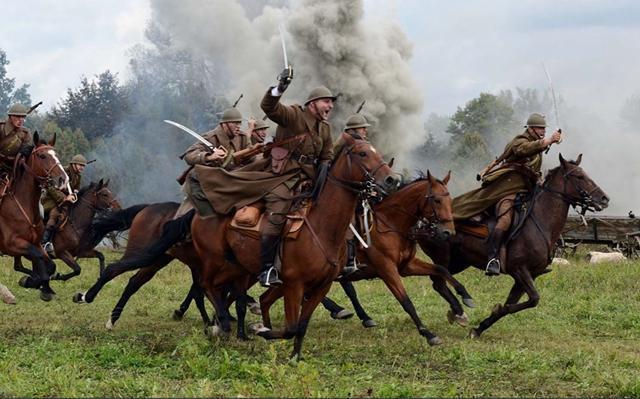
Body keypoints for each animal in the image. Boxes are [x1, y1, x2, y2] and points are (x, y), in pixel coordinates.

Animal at [0, 133, 68, 302]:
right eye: (42, 156)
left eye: (56, 154)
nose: (62, 179)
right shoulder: (13, 244)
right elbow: (41, 263)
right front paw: (34, 282)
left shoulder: (36, 243)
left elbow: (49, 265)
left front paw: (44, 287)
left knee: (19, 265)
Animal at [256, 170, 476, 346]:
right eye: (436, 200)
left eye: (449, 200)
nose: (448, 233)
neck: (390, 223)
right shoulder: (387, 269)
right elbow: (405, 301)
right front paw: (428, 333)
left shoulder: (406, 266)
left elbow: (441, 270)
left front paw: (463, 303)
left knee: (266, 299)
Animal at [418, 155, 608, 340]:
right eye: (579, 176)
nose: (604, 199)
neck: (539, 221)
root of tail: (423, 221)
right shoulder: (520, 270)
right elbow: (534, 299)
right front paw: (494, 310)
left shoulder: (528, 276)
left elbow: (515, 302)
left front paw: (480, 327)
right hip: (443, 257)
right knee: (438, 281)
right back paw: (458, 313)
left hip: (459, 262)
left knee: (437, 280)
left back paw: (455, 312)